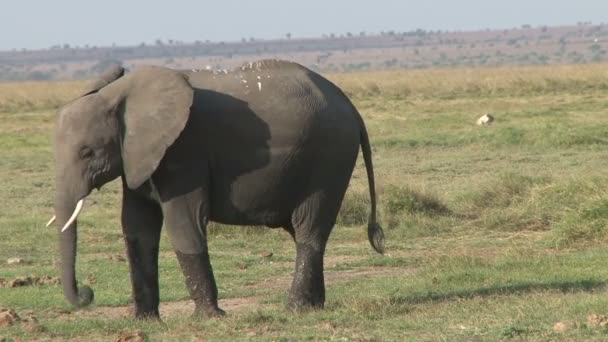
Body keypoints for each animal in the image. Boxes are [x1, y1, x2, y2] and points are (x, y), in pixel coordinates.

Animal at [46, 60, 384, 320]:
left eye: (87, 152)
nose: (87, 293)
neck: (121, 94)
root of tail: (350, 105)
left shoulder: (184, 150)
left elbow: (184, 223)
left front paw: (209, 318)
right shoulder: (138, 157)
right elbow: (137, 227)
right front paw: (145, 321)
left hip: (329, 158)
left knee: (309, 228)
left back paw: (295, 309)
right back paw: (314, 307)